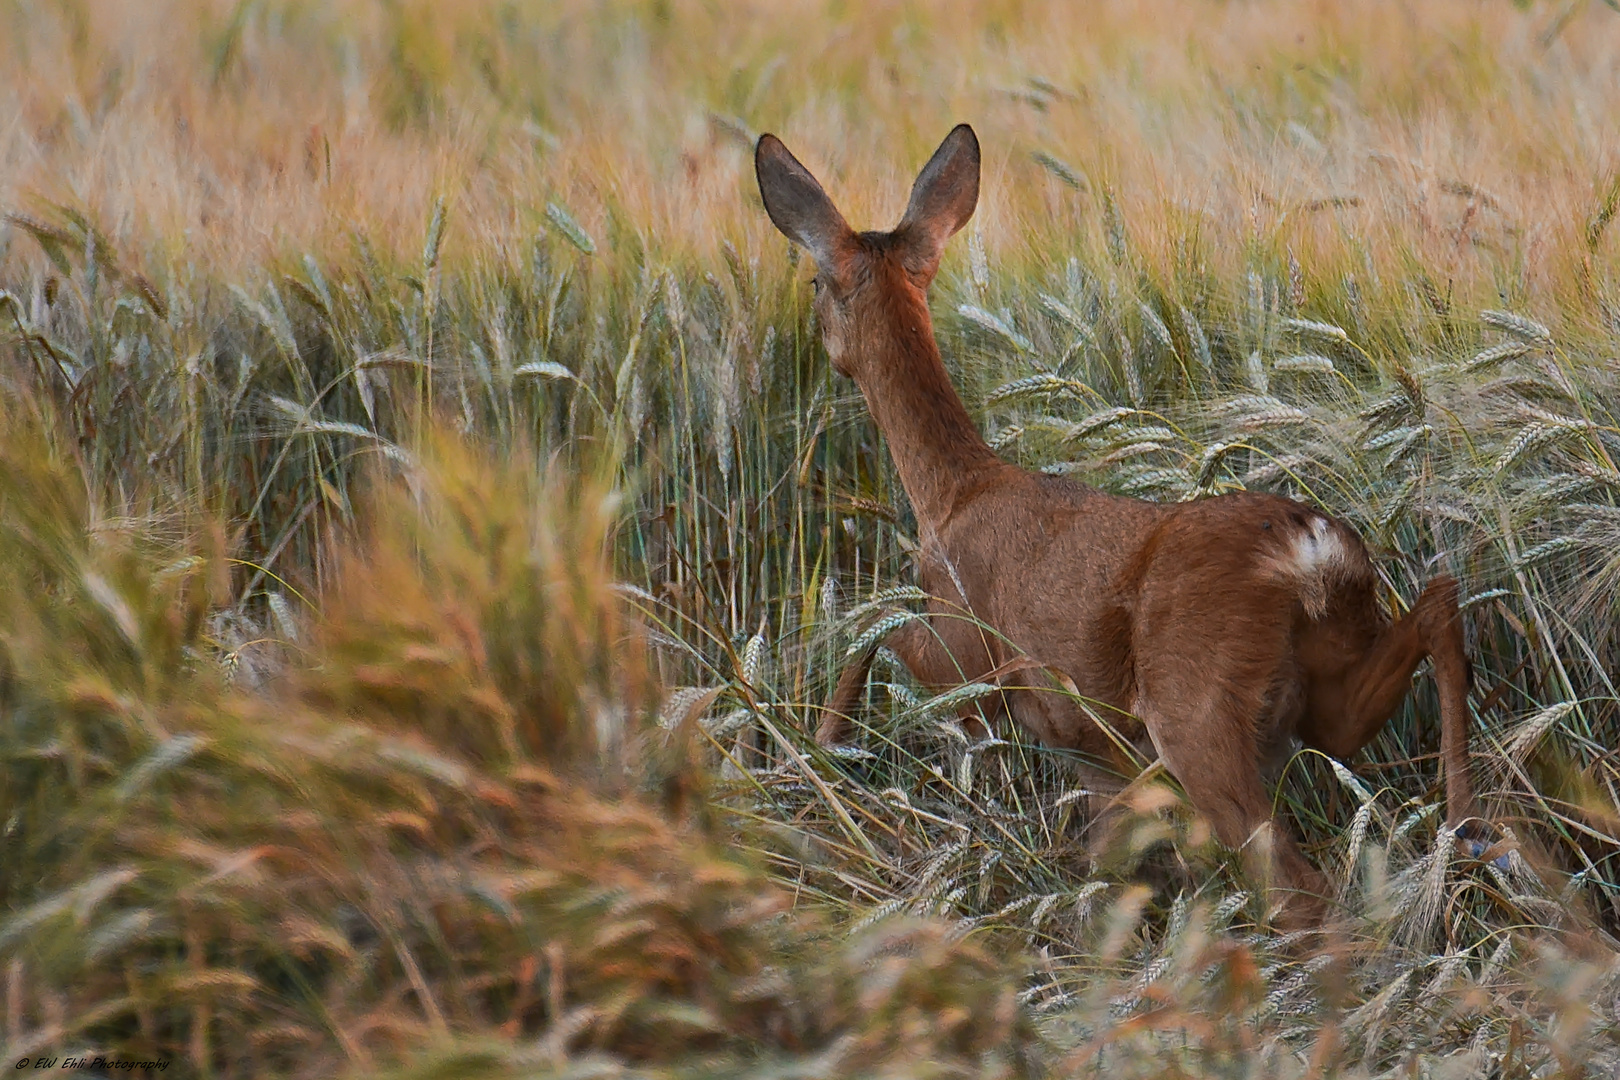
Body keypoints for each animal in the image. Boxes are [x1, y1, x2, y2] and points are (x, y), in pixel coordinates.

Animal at [751, 124, 1477, 919]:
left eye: (814, 283)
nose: (816, 342)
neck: (954, 493)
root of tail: (1310, 548)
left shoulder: (965, 656)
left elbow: (874, 625)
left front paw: (819, 743)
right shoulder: (1092, 752)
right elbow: (1104, 859)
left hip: (1194, 708)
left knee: (1299, 885)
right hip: (1326, 691)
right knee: (1436, 608)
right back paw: (1468, 825)